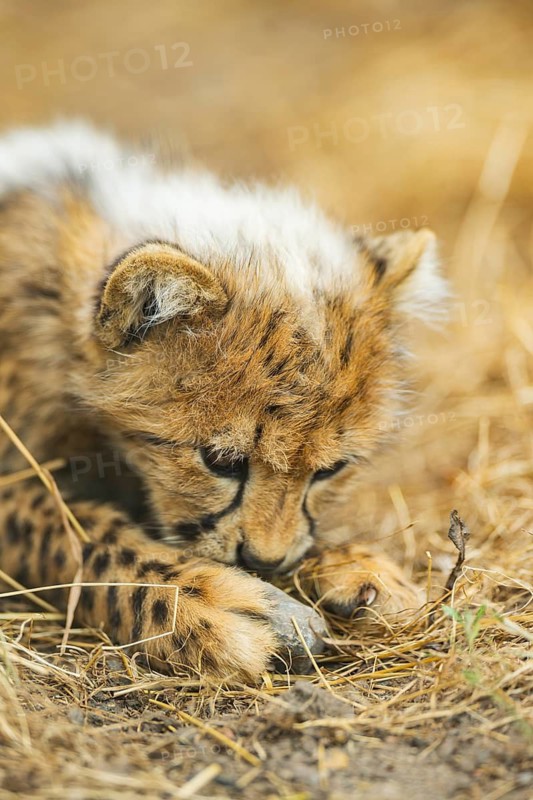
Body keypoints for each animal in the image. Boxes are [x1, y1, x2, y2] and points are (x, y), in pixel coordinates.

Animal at [0, 122, 446, 682]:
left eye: (331, 470)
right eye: (221, 462)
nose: (264, 563)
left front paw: (362, 566)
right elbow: (66, 523)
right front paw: (202, 599)